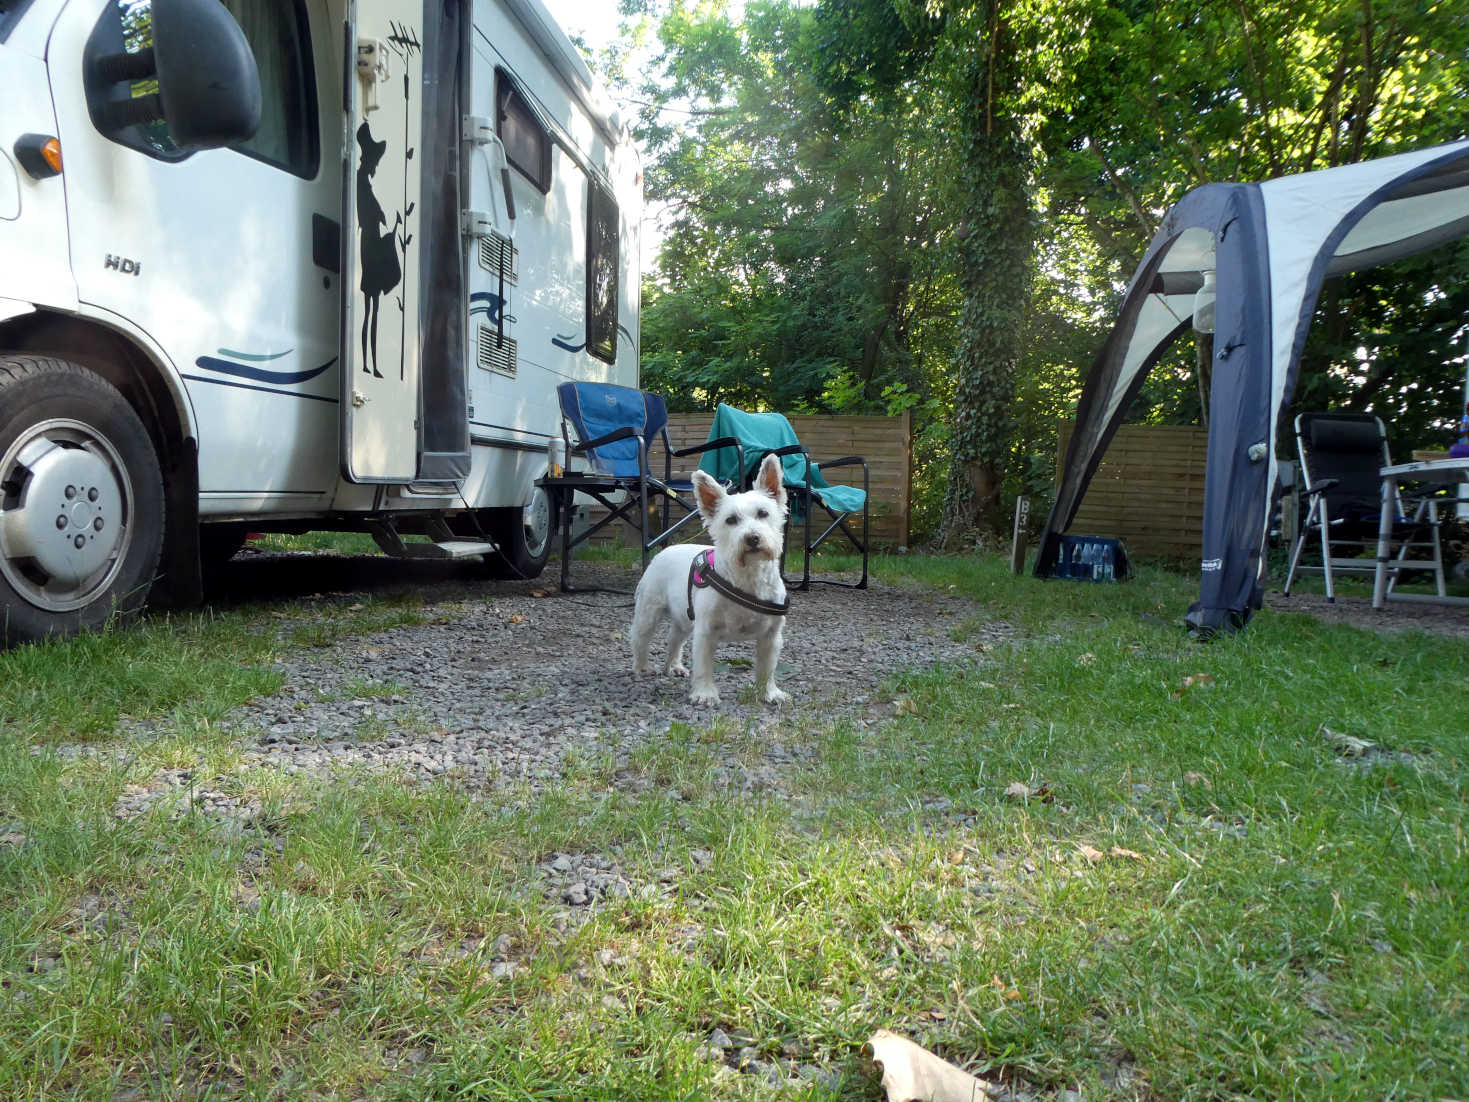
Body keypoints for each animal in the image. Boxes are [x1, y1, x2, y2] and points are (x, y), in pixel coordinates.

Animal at [631, 455, 793, 708]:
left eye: (763, 513)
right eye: (731, 520)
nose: (752, 538)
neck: (748, 576)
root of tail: (667, 549)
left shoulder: (771, 635)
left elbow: (767, 667)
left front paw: (769, 693)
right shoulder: (706, 631)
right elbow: (704, 665)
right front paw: (705, 694)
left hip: (684, 618)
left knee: (674, 639)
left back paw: (674, 666)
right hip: (649, 611)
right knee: (640, 638)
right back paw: (642, 667)